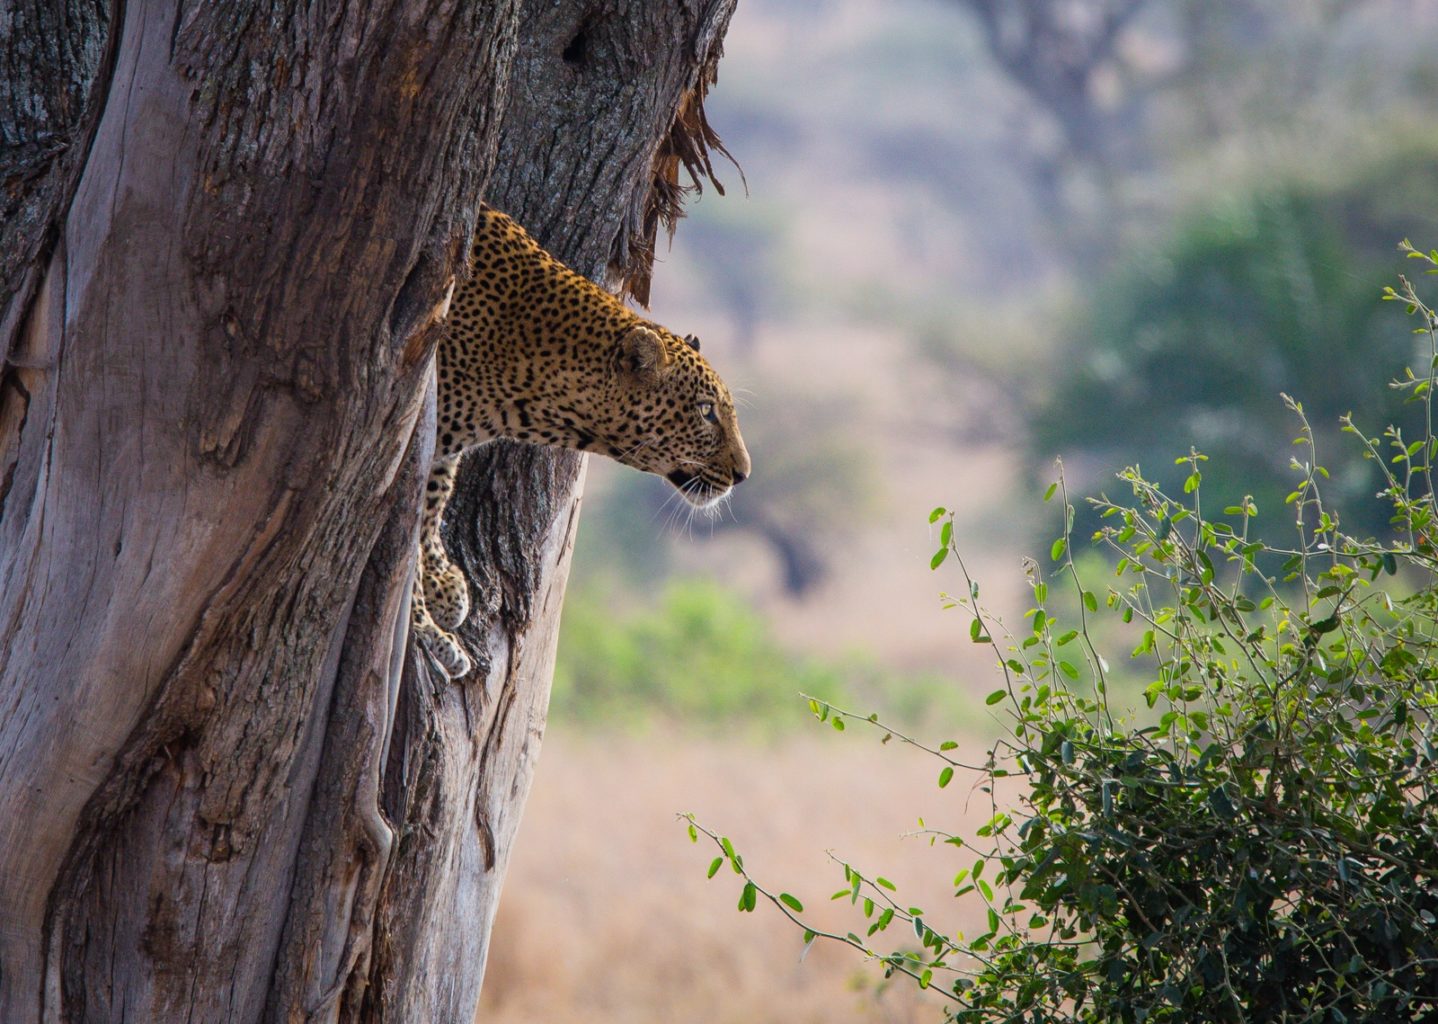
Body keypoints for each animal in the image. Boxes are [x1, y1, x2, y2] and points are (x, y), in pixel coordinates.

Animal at [413, 204, 751, 680]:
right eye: (706, 411)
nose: (744, 474)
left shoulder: (441, 439)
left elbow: (435, 497)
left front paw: (444, 587)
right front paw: (431, 633)